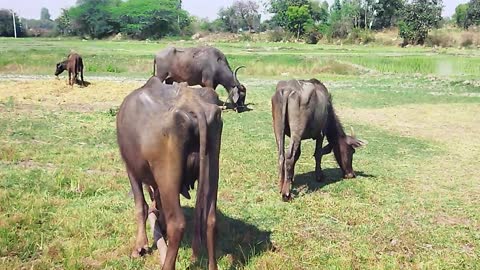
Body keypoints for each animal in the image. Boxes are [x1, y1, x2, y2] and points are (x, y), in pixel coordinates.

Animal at [116, 77, 223, 268]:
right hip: (212, 168)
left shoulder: (131, 169)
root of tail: (194, 105)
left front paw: (140, 247)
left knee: (178, 224)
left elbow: (140, 206)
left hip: (167, 176)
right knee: (211, 220)